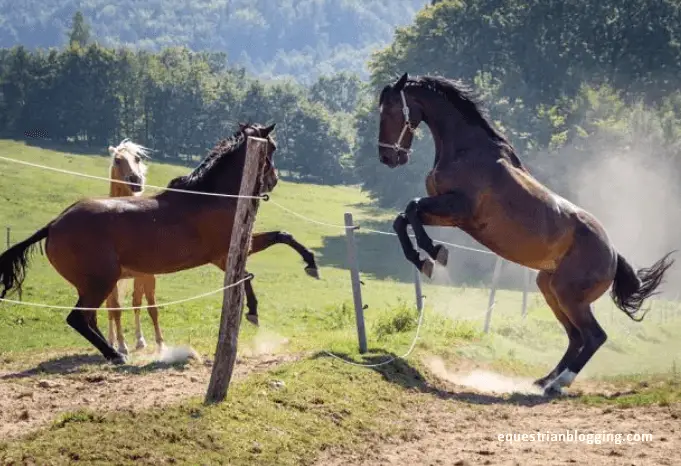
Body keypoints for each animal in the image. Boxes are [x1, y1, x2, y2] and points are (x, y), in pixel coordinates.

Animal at [0, 123, 278, 364]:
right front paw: (254, 310)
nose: (273, 180)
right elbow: (261, 260)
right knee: (78, 318)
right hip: (102, 281)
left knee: (89, 319)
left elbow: (266, 252)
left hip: (93, 285)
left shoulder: (227, 256)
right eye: (273, 148)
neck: (212, 196)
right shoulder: (226, 254)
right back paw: (116, 355)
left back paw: (114, 351)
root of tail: (54, 224)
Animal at [378, 74, 676, 396]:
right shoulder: (449, 214)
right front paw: (422, 259)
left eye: (391, 109)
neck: (467, 152)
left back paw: (559, 384)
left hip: (569, 295)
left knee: (594, 336)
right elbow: (402, 219)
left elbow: (411, 208)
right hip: (549, 287)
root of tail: (612, 254)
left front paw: (434, 253)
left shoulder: (459, 207)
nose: (387, 156)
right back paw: (544, 380)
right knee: (575, 337)